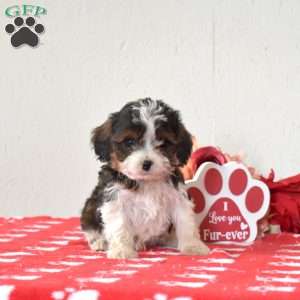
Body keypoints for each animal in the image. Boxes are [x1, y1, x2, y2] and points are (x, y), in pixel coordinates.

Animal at [81, 98, 210, 258]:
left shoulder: (178, 197)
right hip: (89, 208)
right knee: (91, 228)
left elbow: (185, 221)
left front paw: (193, 246)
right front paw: (122, 250)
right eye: (130, 142)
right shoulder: (115, 198)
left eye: (163, 143)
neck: (146, 182)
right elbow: (119, 226)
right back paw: (99, 242)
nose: (147, 163)